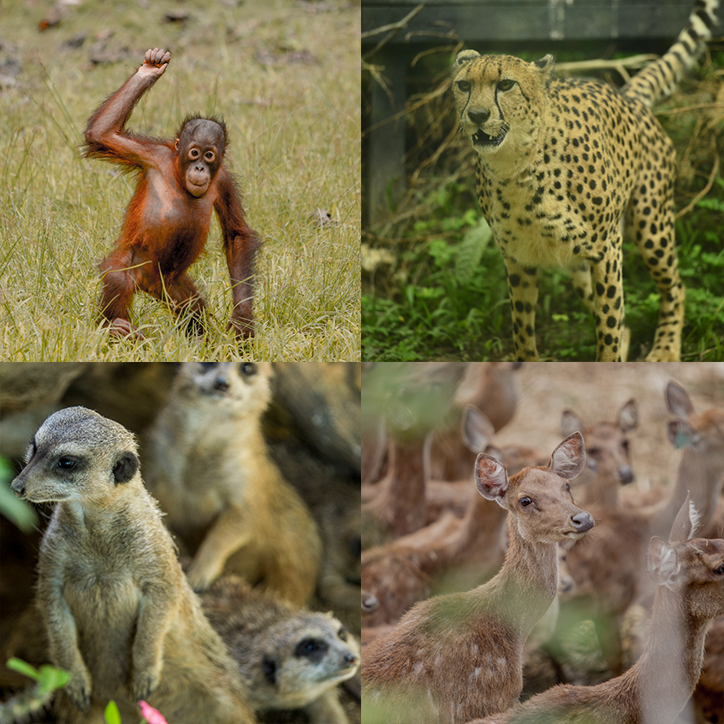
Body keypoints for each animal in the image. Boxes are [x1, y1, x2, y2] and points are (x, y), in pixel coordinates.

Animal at [10, 406, 255, 724]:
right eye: (35, 447)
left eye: (66, 462)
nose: (17, 486)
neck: (95, 533)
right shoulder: (54, 556)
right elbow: (51, 604)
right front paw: (75, 678)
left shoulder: (154, 552)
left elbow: (162, 599)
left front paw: (144, 672)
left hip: (220, 692)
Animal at [142, 362, 323, 604]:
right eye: (208, 362)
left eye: (247, 368)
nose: (222, 383)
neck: (202, 441)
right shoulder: (156, 454)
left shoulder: (246, 476)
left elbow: (240, 519)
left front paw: (199, 574)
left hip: (293, 552)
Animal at [452, 0, 719, 361]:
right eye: (464, 85)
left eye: (505, 85)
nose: (477, 115)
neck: (515, 167)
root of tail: (624, 92)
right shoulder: (518, 259)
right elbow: (522, 330)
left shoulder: (607, 249)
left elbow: (608, 324)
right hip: (580, 264)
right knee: (626, 320)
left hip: (652, 225)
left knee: (675, 287)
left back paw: (664, 349)